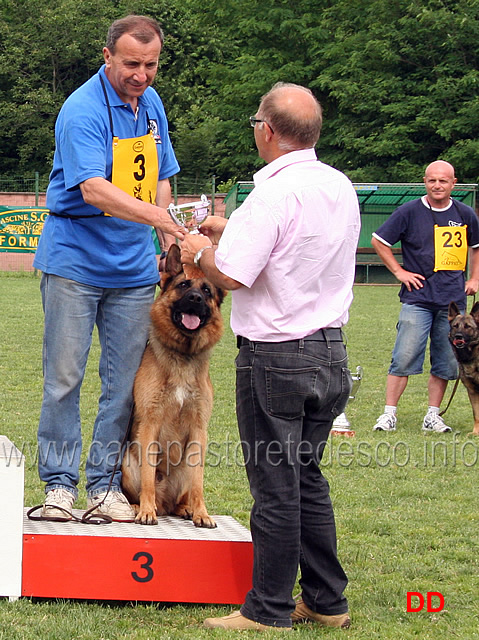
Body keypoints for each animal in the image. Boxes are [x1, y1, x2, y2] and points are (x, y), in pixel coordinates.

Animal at [120, 244, 225, 524]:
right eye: (184, 285)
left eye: (207, 291)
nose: (196, 299)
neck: (183, 355)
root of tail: (165, 502)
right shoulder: (150, 423)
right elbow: (147, 477)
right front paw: (146, 511)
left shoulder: (200, 430)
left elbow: (199, 483)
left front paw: (202, 513)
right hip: (127, 462)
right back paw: (139, 506)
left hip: (185, 465)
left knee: (184, 493)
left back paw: (186, 508)